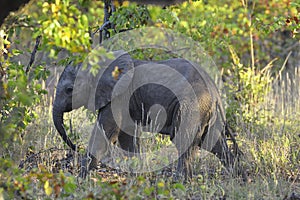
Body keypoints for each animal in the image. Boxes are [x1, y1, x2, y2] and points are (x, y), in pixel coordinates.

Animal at [52, 50, 241, 180]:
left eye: (69, 89)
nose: (75, 146)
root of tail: (215, 91)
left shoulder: (120, 94)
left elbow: (106, 131)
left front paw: (80, 180)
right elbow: (127, 136)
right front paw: (137, 176)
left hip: (193, 104)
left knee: (184, 140)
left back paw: (180, 182)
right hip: (206, 110)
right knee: (214, 143)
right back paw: (240, 179)